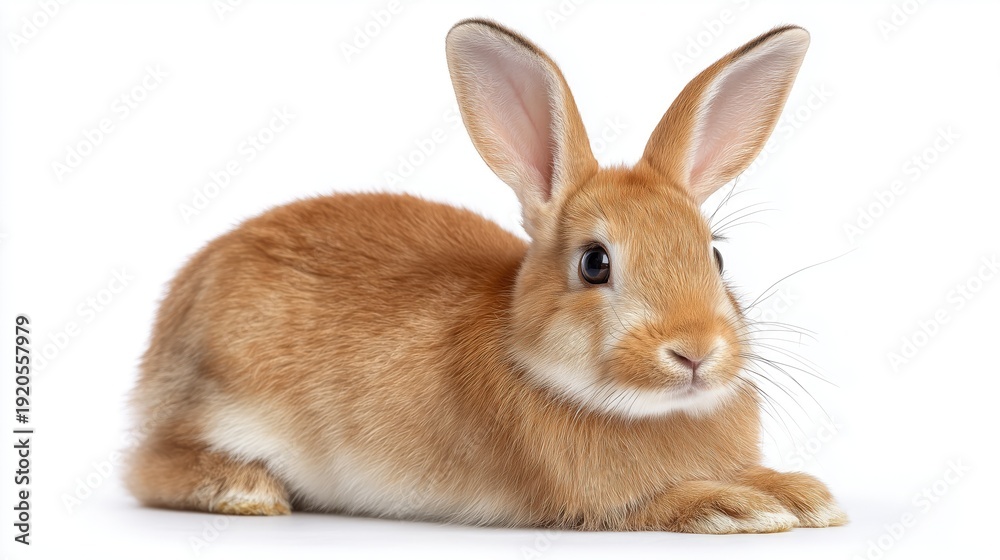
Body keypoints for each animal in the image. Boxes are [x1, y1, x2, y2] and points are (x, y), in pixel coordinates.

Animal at [125, 19, 846, 533]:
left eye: (715, 257)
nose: (695, 351)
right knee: (146, 469)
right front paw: (741, 506)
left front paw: (804, 494)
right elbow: (662, 500)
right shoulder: (597, 501)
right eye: (595, 263)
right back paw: (245, 489)